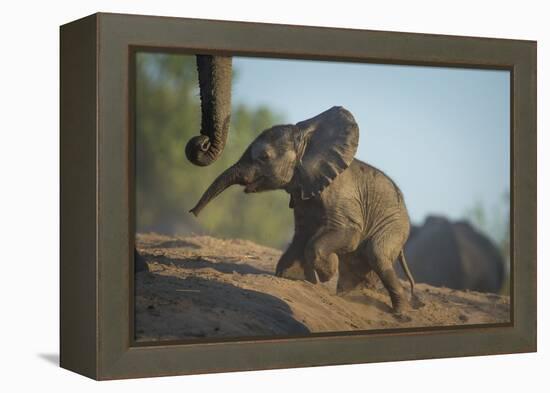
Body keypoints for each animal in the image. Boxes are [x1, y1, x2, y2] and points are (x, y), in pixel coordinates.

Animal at [192, 106, 416, 312]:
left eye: (264, 157)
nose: (193, 213)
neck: (307, 141)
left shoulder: (340, 197)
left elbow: (346, 234)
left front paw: (326, 273)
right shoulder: (303, 195)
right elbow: (302, 234)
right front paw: (294, 277)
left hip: (395, 225)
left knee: (377, 253)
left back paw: (400, 313)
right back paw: (351, 295)